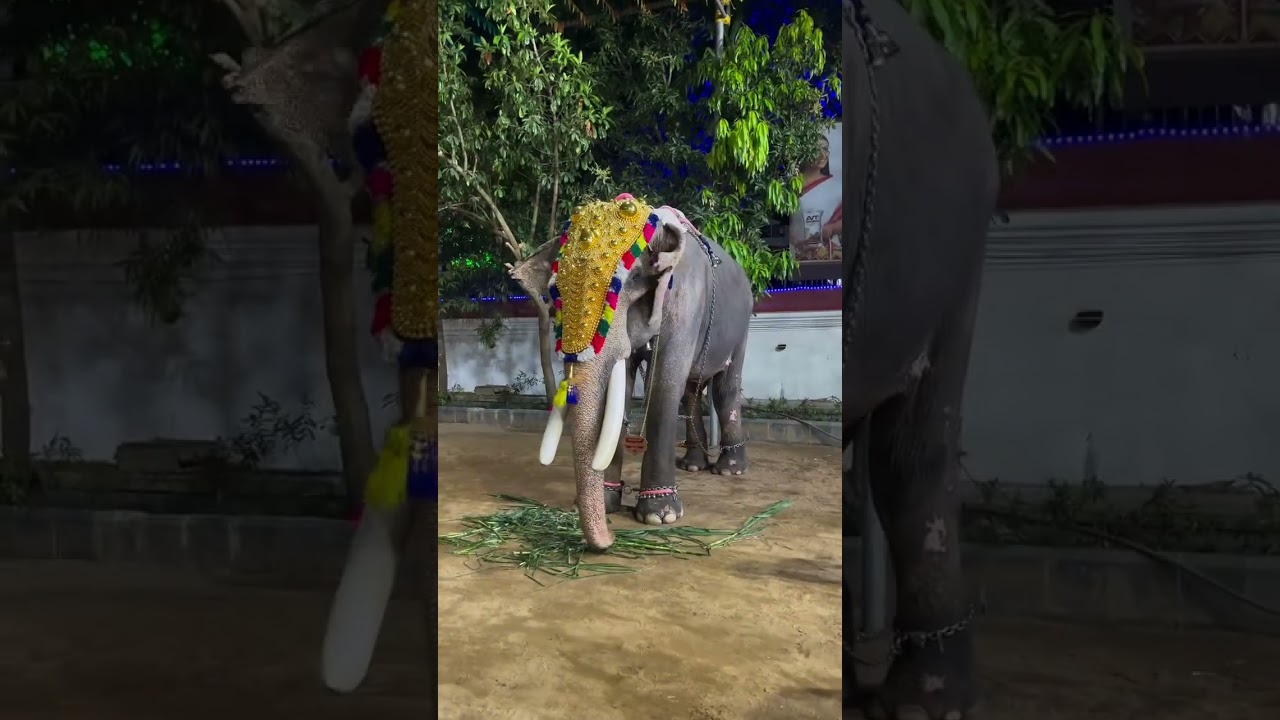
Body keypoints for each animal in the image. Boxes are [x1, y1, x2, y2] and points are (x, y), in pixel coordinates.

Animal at [511, 196, 754, 550]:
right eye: (555, 293)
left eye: (631, 284)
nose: (610, 538)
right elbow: (622, 385)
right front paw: (608, 503)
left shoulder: (685, 300)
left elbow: (664, 385)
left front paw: (659, 516)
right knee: (691, 392)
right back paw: (693, 465)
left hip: (742, 325)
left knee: (725, 389)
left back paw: (730, 470)